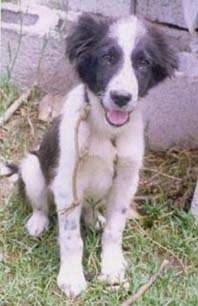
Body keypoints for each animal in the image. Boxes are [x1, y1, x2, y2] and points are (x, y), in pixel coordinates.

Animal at [16, 13, 178, 296]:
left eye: (143, 63)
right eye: (107, 58)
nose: (121, 97)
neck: (107, 132)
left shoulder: (126, 181)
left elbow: (115, 230)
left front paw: (112, 268)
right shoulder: (66, 184)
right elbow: (71, 237)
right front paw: (71, 277)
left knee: (90, 208)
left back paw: (94, 220)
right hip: (32, 168)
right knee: (41, 203)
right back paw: (37, 222)